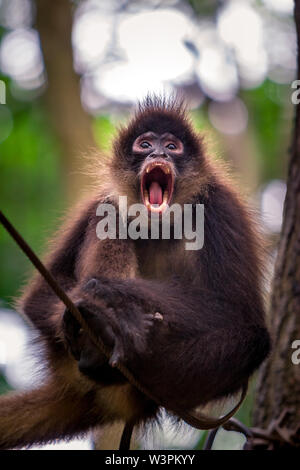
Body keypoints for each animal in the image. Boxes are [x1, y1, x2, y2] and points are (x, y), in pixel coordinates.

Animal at [0, 96, 270, 448]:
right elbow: (38, 297)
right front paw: (106, 303)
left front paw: (111, 294)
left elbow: (235, 312)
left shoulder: (222, 205)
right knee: (112, 217)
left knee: (254, 340)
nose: (159, 155)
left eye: (172, 146)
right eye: (145, 145)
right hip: (64, 355)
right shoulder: (100, 198)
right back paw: (98, 335)